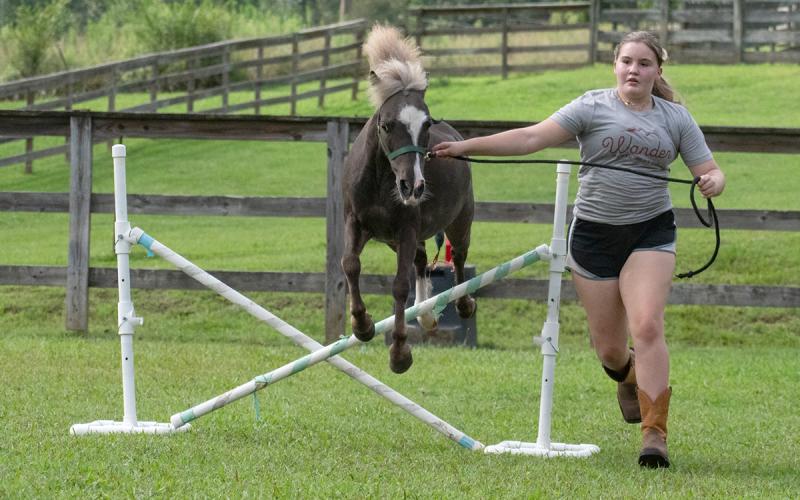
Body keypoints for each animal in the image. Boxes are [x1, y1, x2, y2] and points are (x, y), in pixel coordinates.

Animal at [341, 25, 476, 374]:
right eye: (387, 125)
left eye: (426, 125)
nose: (412, 187)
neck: (381, 181)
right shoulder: (357, 223)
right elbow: (350, 265)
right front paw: (362, 325)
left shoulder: (406, 230)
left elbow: (399, 285)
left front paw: (400, 354)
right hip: (395, 239)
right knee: (422, 262)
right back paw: (426, 315)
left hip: (459, 222)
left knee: (458, 260)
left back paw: (463, 305)